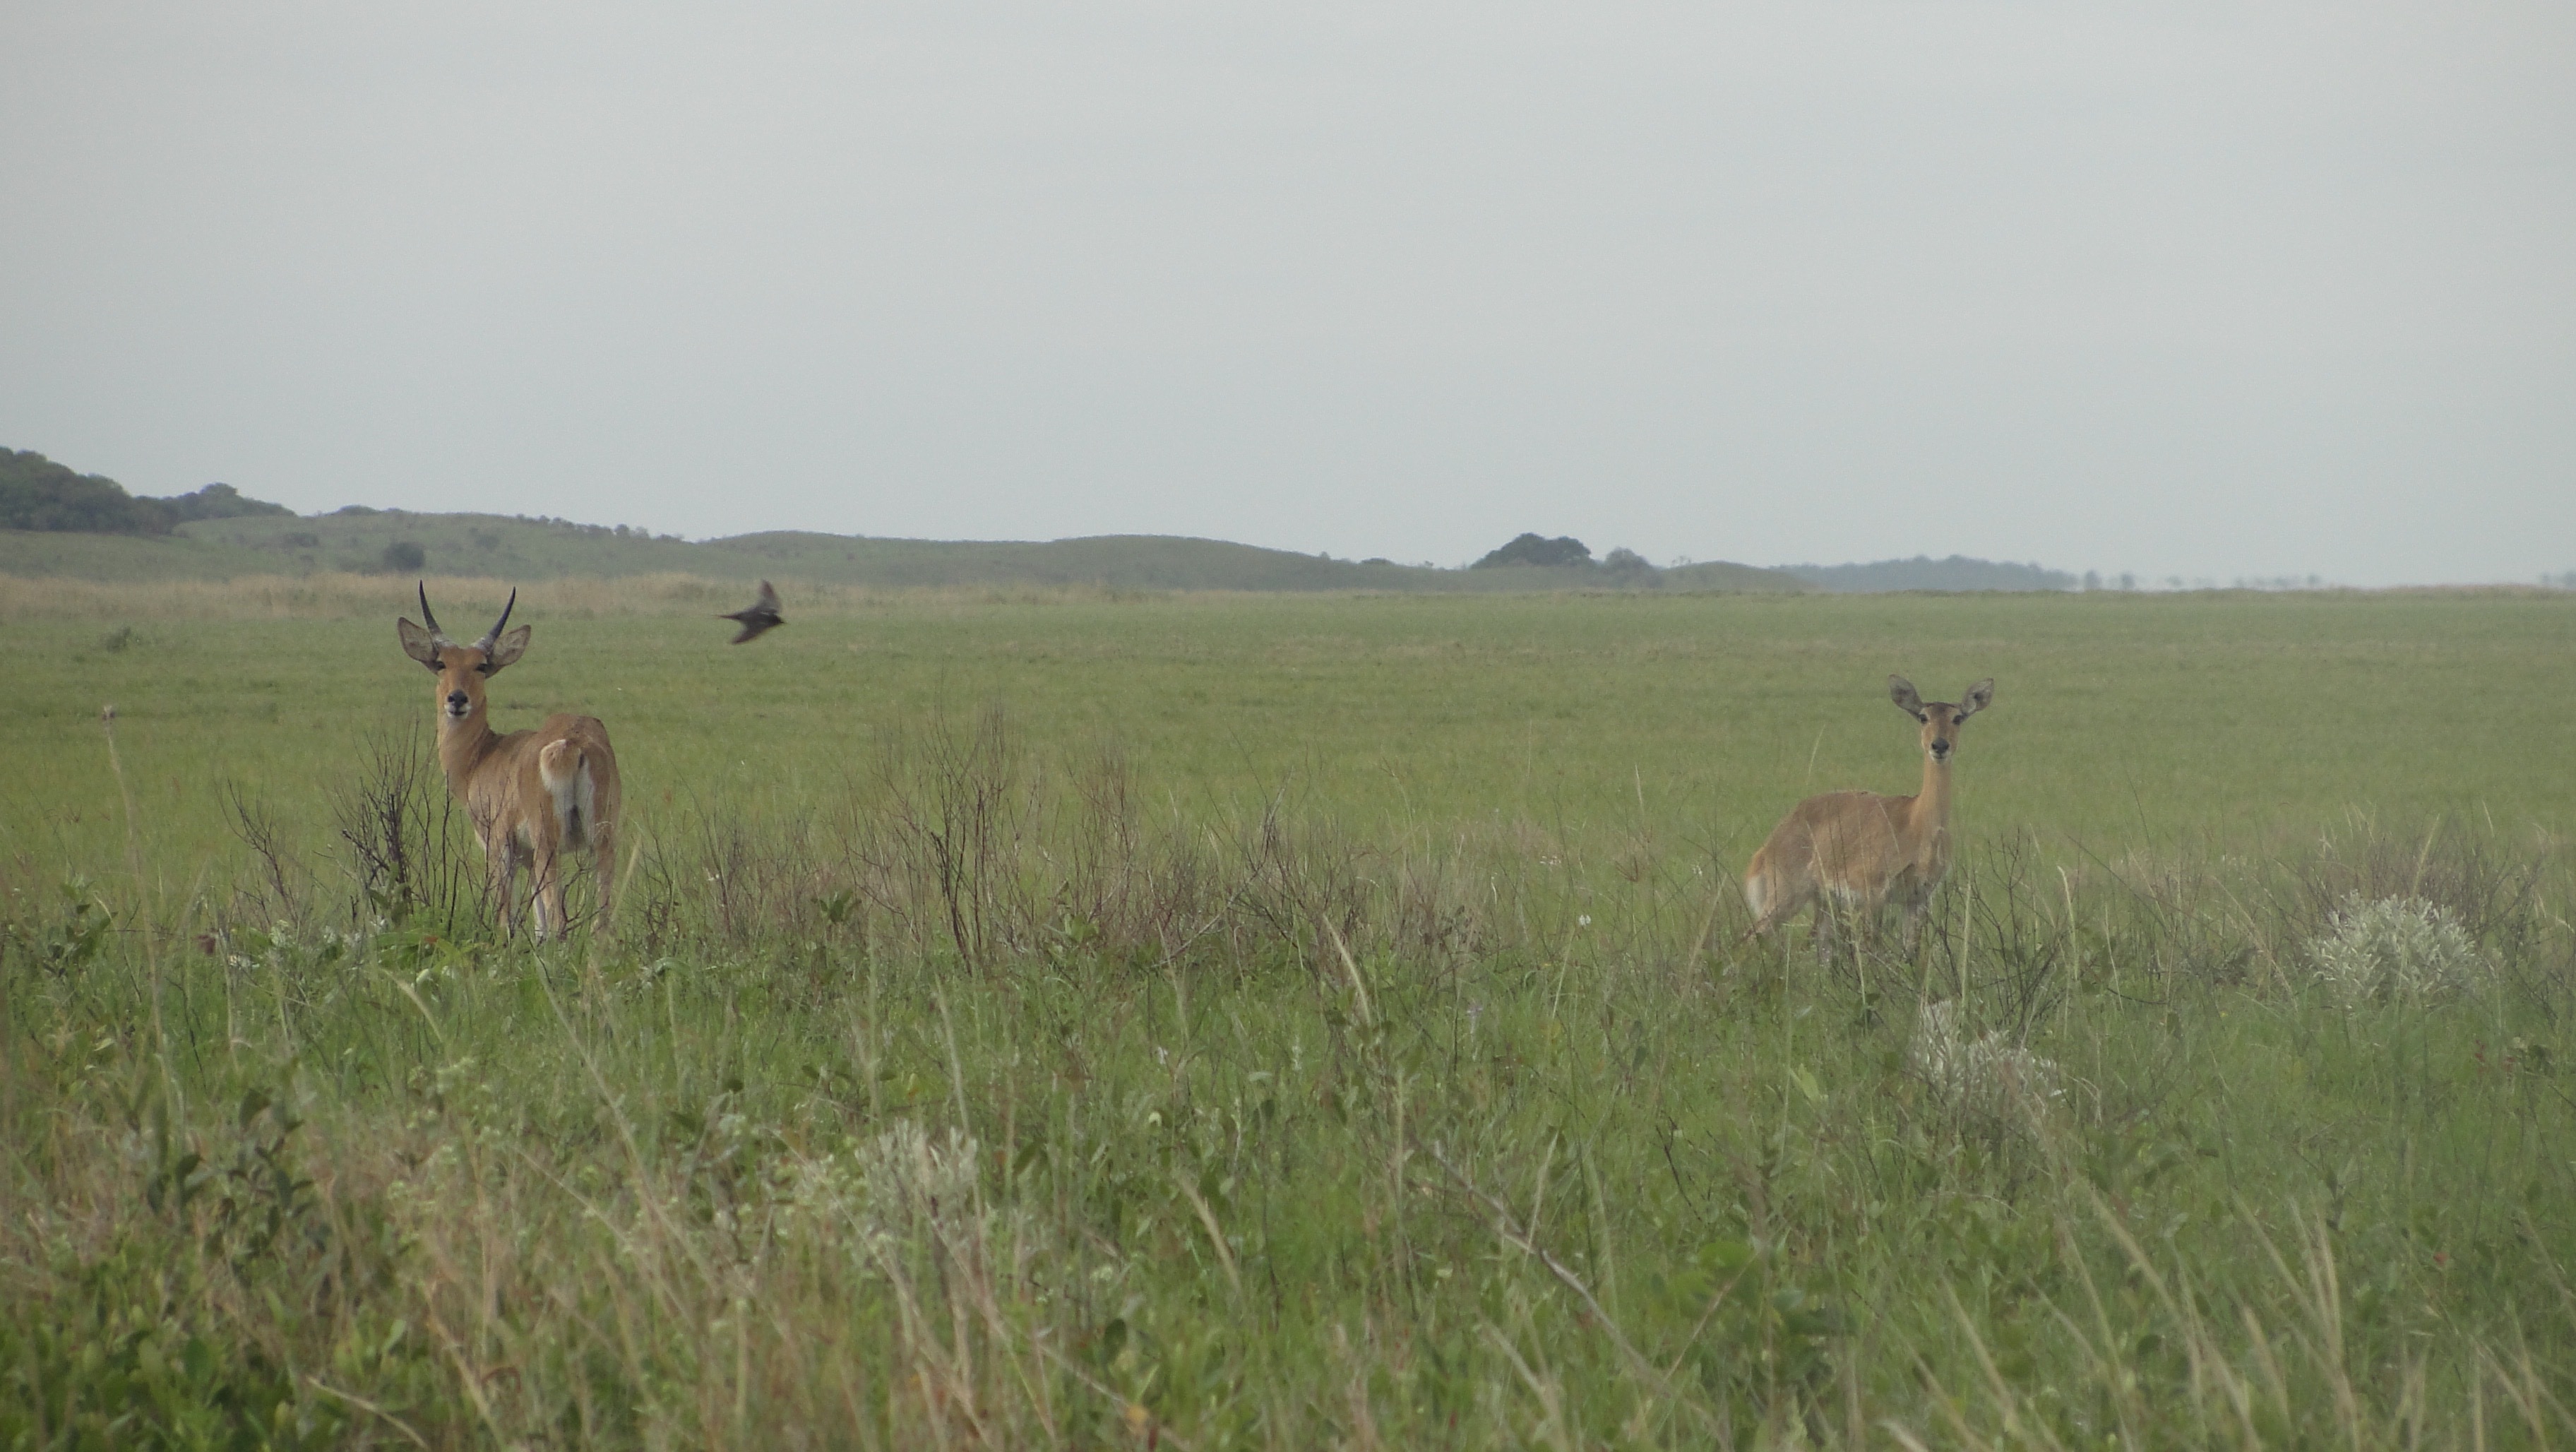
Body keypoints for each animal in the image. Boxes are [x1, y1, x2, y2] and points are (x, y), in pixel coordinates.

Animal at [399, 587, 626, 942]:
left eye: (481, 665)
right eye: (441, 663)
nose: (457, 699)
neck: (483, 756)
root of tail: (572, 744)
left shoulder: (499, 847)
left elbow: (507, 918)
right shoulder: (529, 857)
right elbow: (538, 923)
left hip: (549, 845)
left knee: (561, 920)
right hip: (602, 841)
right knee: (600, 921)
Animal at [1741, 679, 1998, 963]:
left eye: (1958, 717)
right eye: (1923, 717)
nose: (1939, 746)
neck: (1916, 823)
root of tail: (1770, 843)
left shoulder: (1918, 898)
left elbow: (1910, 955)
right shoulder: (1873, 894)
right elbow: (1872, 951)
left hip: (1823, 902)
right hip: (1787, 894)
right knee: (1750, 937)